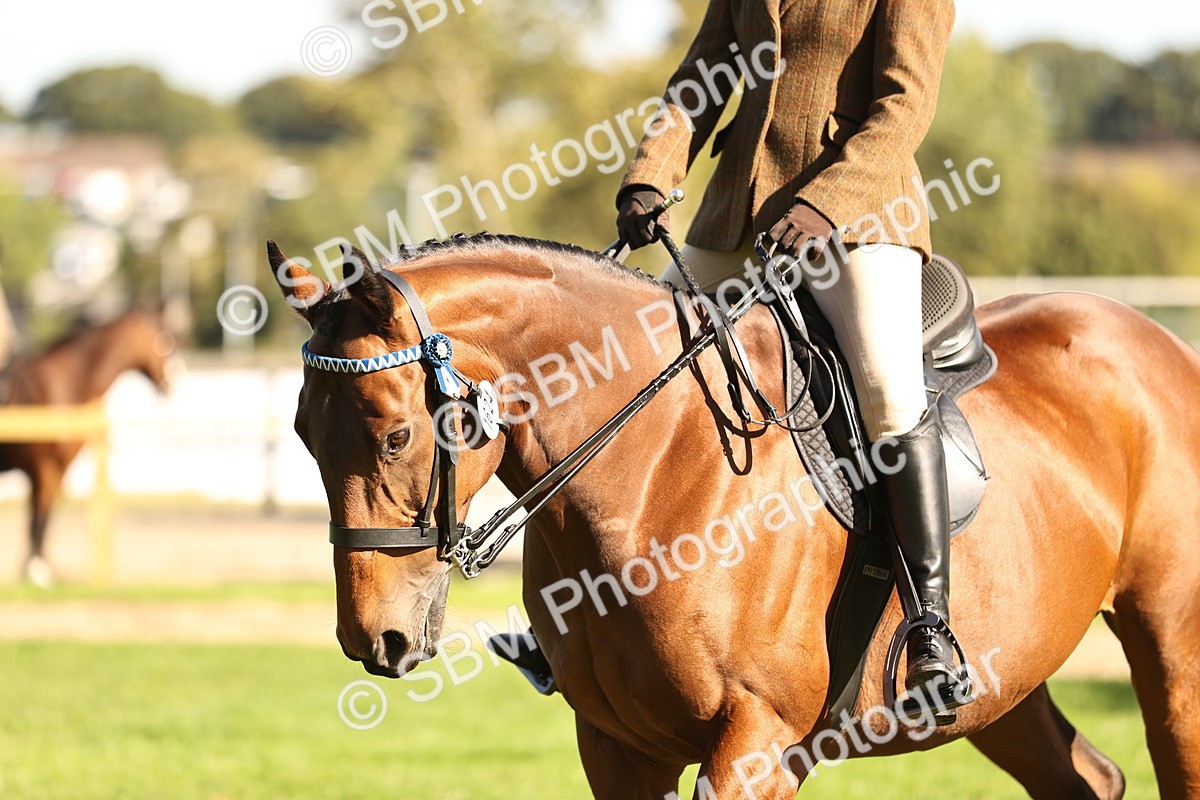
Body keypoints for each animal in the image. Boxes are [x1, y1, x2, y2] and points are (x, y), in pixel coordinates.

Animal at [0, 309, 172, 586]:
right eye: (166, 339)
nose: (169, 382)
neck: (64, 383)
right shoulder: (44, 469)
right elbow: (40, 518)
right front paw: (37, 571)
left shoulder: (57, 470)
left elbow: (41, 517)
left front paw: (36, 567)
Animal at [270, 235, 1200, 799]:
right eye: (302, 435)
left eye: (394, 436)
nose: (375, 639)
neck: (652, 469)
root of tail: (1161, 342)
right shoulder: (618, 748)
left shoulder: (755, 741)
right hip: (1007, 684)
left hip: (1171, 650)